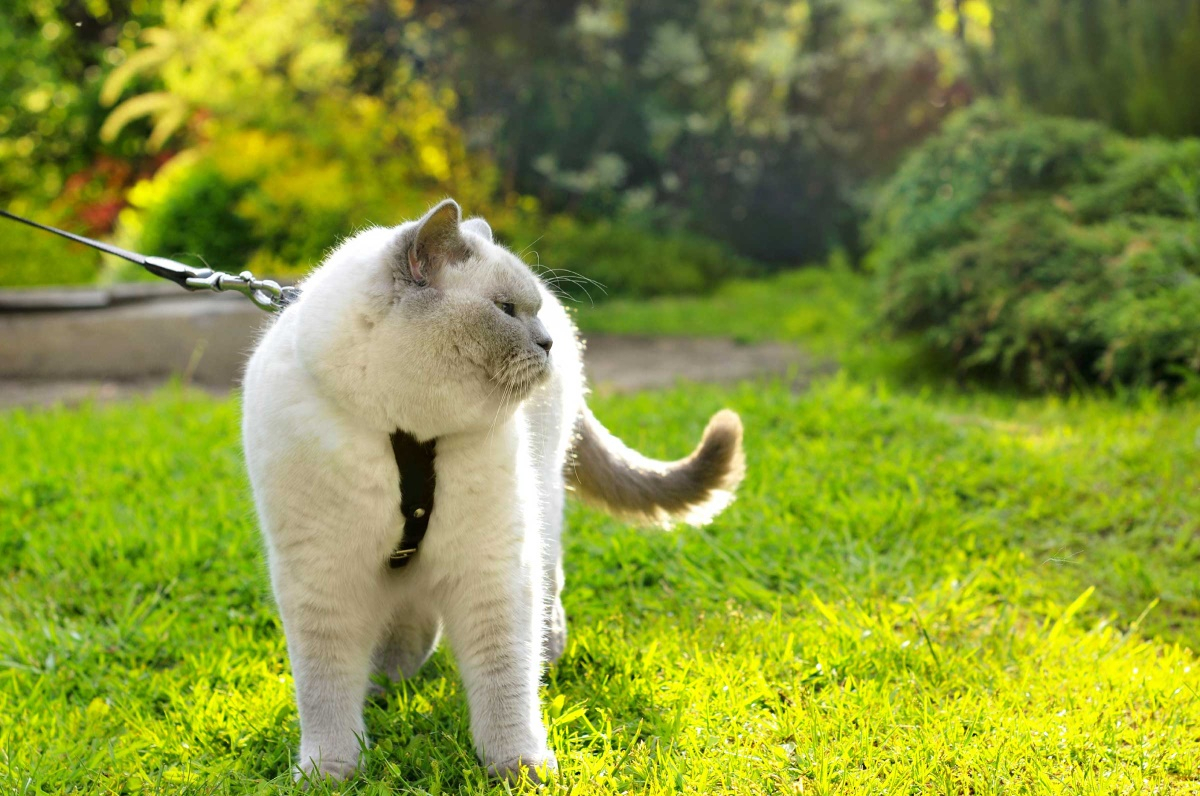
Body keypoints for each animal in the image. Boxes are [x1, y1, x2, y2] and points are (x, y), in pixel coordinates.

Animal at [238, 199, 744, 782]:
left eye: (531, 310)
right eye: (505, 310)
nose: (547, 343)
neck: (405, 435)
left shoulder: (491, 567)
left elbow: (505, 678)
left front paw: (519, 769)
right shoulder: (321, 578)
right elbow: (324, 687)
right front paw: (332, 772)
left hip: (541, 504)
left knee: (546, 588)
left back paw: (540, 652)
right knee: (408, 621)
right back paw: (388, 683)